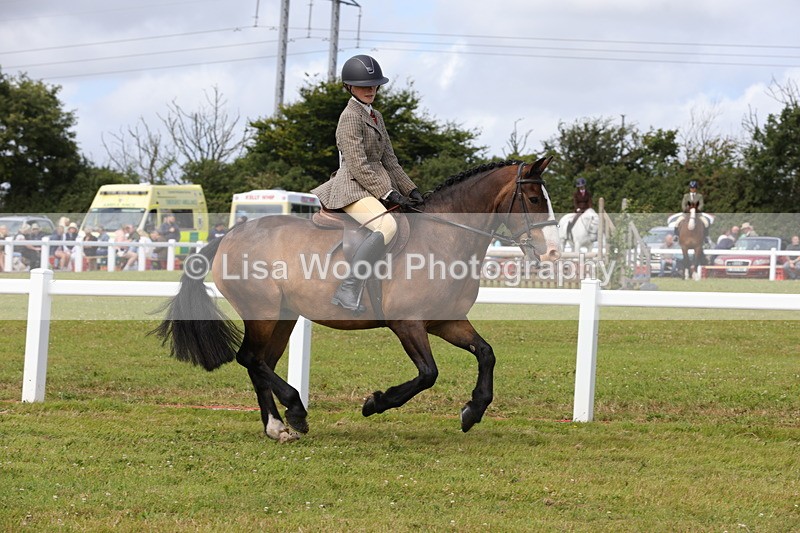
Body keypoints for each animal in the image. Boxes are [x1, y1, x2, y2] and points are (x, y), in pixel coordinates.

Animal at [152, 158, 561, 442]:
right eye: (534, 198)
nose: (554, 252)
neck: (444, 237)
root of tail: (229, 235)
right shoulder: (407, 324)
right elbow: (428, 374)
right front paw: (375, 403)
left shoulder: (447, 321)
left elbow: (486, 353)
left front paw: (472, 411)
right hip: (262, 311)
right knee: (250, 358)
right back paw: (295, 412)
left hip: (283, 316)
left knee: (261, 363)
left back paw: (278, 426)